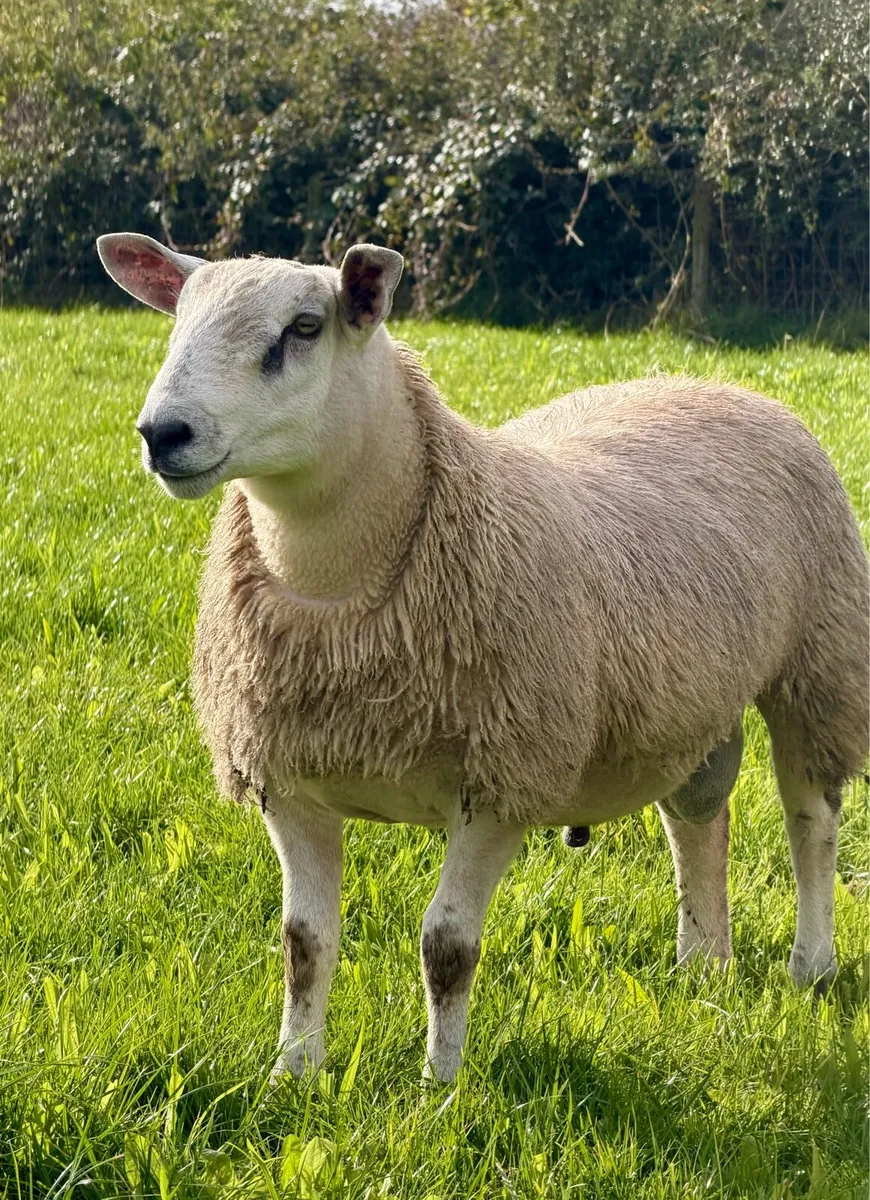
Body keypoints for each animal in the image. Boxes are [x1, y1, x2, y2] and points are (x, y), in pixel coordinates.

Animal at [97, 232, 869, 1084]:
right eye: (177, 323)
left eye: (303, 328)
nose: (163, 434)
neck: (338, 590)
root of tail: (719, 384)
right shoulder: (289, 780)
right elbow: (304, 944)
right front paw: (293, 1076)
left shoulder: (501, 783)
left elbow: (447, 947)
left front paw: (440, 1086)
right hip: (686, 698)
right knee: (698, 816)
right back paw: (702, 964)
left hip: (819, 662)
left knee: (811, 820)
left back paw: (812, 965)